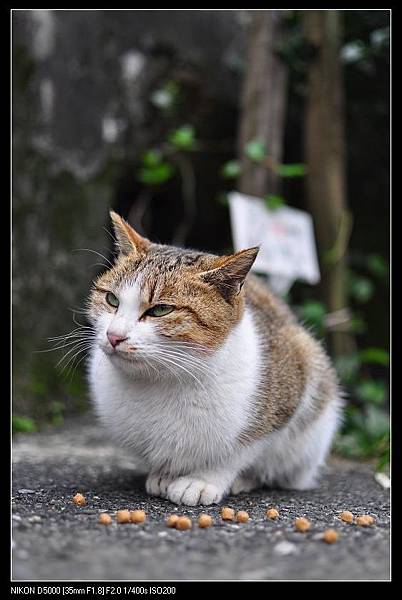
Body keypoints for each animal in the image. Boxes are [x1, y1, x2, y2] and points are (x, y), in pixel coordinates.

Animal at [86, 213, 340, 504]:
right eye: (112, 299)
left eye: (161, 310)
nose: (114, 335)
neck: (161, 378)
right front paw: (164, 473)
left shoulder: (288, 393)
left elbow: (237, 453)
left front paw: (203, 480)